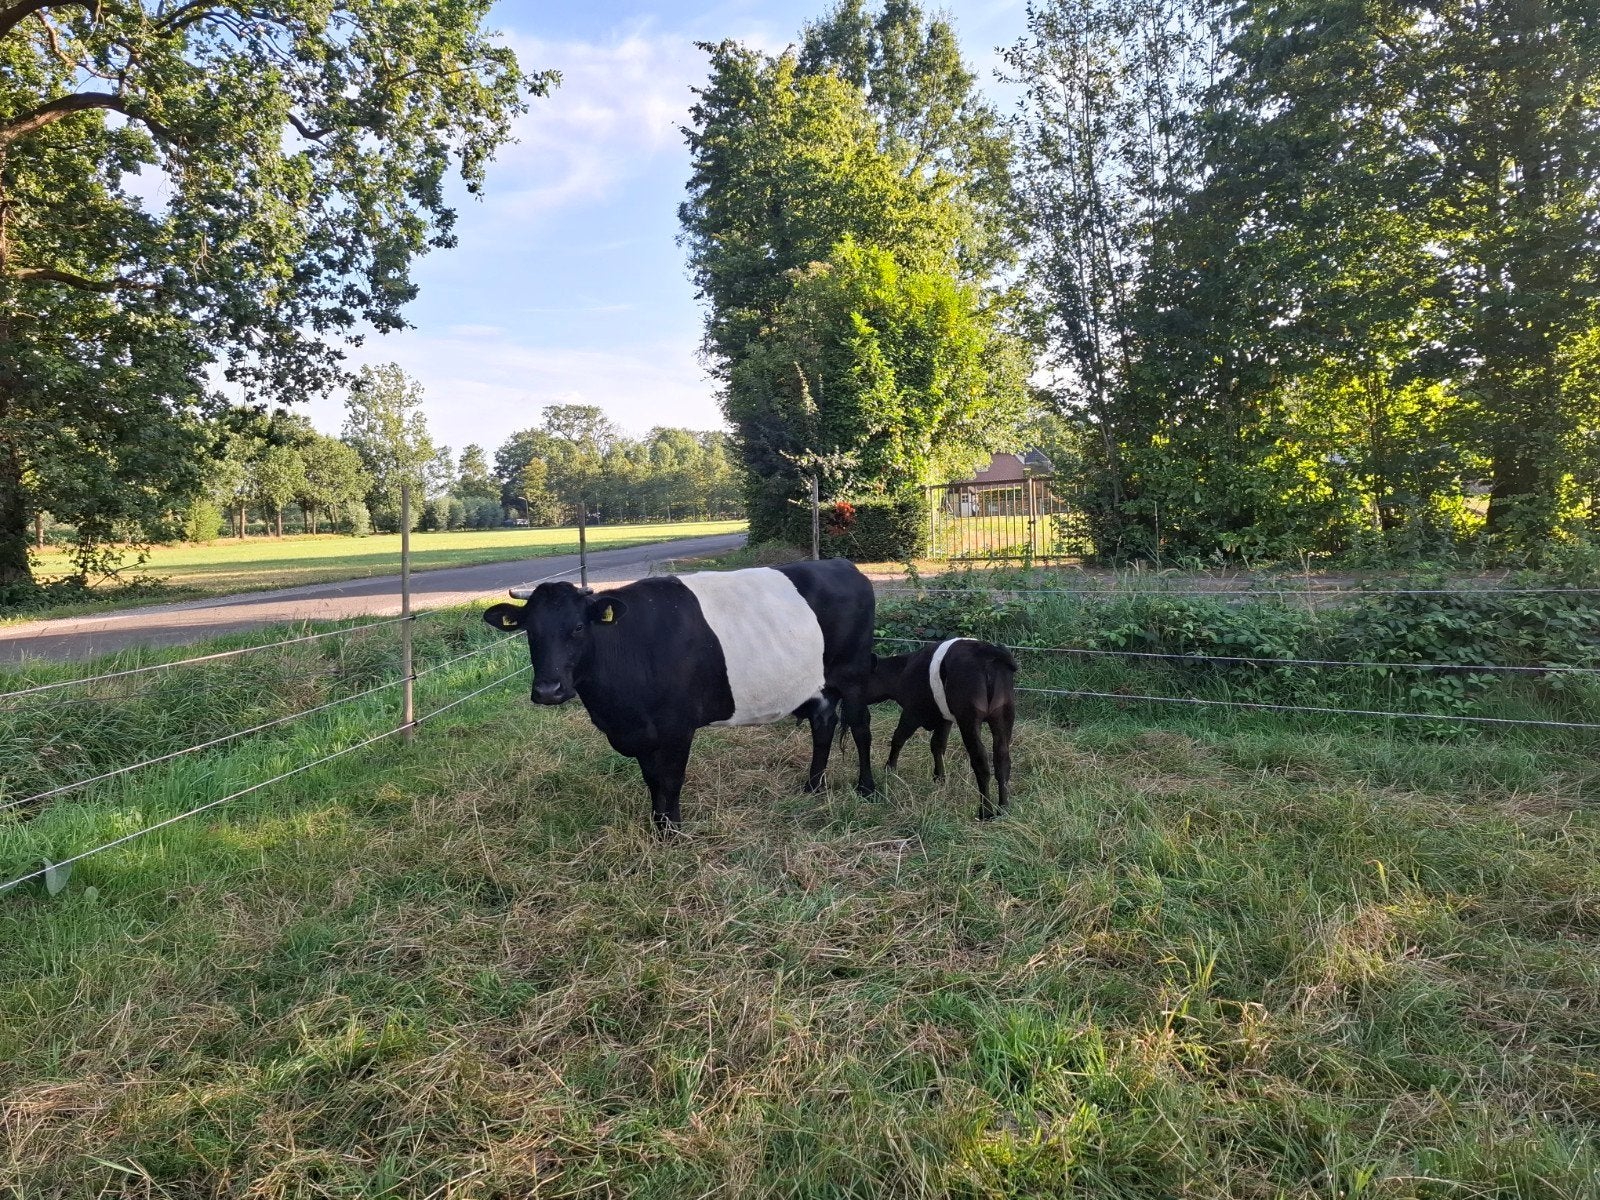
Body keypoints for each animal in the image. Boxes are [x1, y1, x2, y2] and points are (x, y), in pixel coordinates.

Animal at [482, 559, 877, 831]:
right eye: (529, 631)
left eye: (578, 627)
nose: (548, 690)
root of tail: (843, 564)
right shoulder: (643, 732)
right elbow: (653, 779)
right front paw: (659, 825)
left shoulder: (675, 727)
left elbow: (671, 779)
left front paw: (672, 832)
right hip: (820, 684)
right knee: (823, 724)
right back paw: (813, 786)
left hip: (855, 673)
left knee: (860, 728)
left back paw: (867, 789)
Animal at [865, 638, 1018, 820]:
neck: (903, 670)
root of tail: (989, 652)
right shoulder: (944, 718)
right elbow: (937, 745)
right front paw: (939, 778)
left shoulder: (912, 712)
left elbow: (898, 738)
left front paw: (889, 769)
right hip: (1003, 716)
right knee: (1002, 761)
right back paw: (1003, 809)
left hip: (969, 719)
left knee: (981, 761)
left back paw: (985, 812)